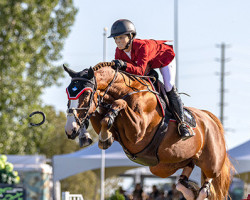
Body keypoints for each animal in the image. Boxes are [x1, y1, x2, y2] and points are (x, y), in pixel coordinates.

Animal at [63, 61, 234, 199]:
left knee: (209, 183)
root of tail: (210, 118)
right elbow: (102, 118)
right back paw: (190, 192)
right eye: (67, 92)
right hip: (163, 166)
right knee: (186, 172)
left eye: (86, 93)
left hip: (211, 162)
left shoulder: (138, 133)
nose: (70, 130)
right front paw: (93, 136)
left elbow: (120, 104)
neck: (127, 91)